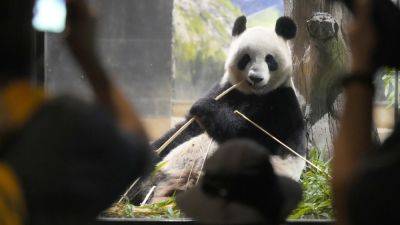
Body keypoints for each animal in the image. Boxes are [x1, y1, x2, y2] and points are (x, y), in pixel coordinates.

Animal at [145, 15, 304, 202]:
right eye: (246, 58)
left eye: (269, 59)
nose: (255, 78)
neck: (254, 95)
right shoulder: (226, 90)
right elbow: (184, 130)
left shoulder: (282, 104)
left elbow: (256, 137)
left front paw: (205, 106)